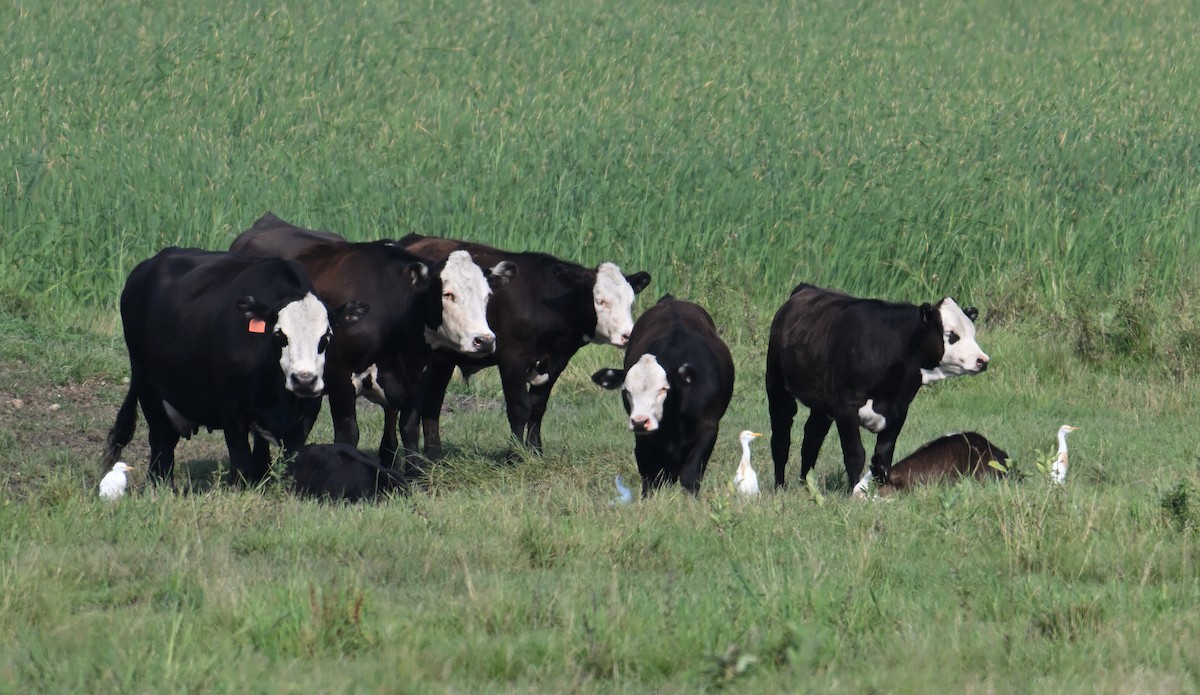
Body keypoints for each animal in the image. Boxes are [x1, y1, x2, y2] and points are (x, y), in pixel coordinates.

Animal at [102, 247, 364, 487]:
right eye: (280, 335)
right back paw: (161, 485)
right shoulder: (231, 409)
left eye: (326, 337)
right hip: (147, 385)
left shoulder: (307, 410)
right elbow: (240, 459)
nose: (304, 380)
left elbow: (289, 458)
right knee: (161, 441)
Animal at [229, 216, 516, 468]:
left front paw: (415, 476)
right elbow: (348, 434)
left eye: (487, 295)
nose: (484, 340)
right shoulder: (341, 377)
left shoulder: (417, 377)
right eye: (448, 294)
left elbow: (409, 429)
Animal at [588, 296, 729, 496]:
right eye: (627, 390)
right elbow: (652, 477)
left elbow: (690, 475)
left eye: (663, 388)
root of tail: (671, 300)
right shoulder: (644, 440)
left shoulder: (708, 426)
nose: (640, 421)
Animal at [763, 284, 988, 494]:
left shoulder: (899, 411)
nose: (982, 360)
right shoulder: (846, 408)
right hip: (776, 385)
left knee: (811, 440)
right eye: (951, 335)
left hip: (822, 406)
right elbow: (855, 453)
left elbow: (883, 456)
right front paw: (854, 491)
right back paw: (780, 486)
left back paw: (806, 486)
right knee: (781, 438)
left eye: (973, 333)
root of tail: (805, 288)